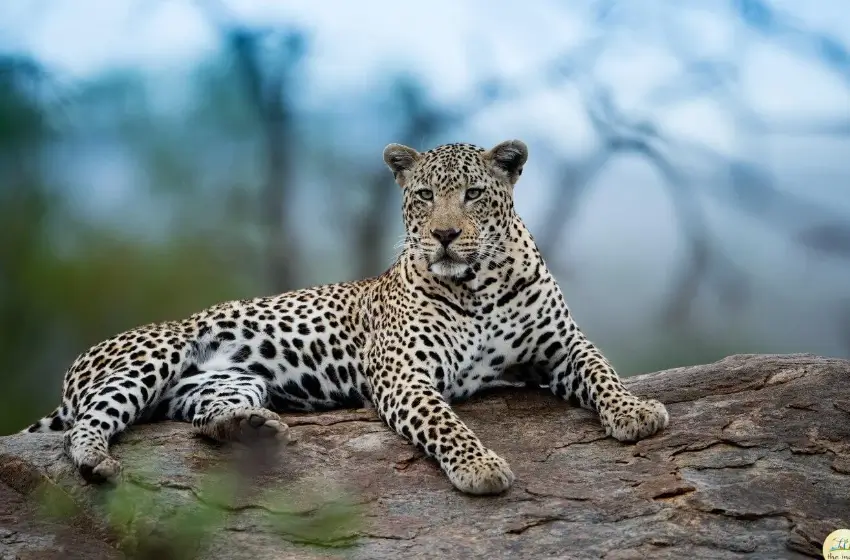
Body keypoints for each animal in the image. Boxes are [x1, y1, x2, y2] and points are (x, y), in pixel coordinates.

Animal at [23, 139, 669, 495]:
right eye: (424, 196)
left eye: (474, 194)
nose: (444, 235)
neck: (479, 285)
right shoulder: (405, 374)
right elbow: (446, 423)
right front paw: (480, 465)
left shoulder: (561, 347)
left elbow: (602, 370)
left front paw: (636, 411)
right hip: (153, 356)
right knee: (88, 425)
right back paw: (97, 462)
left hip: (223, 384)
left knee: (202, 421)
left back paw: (249, 429)